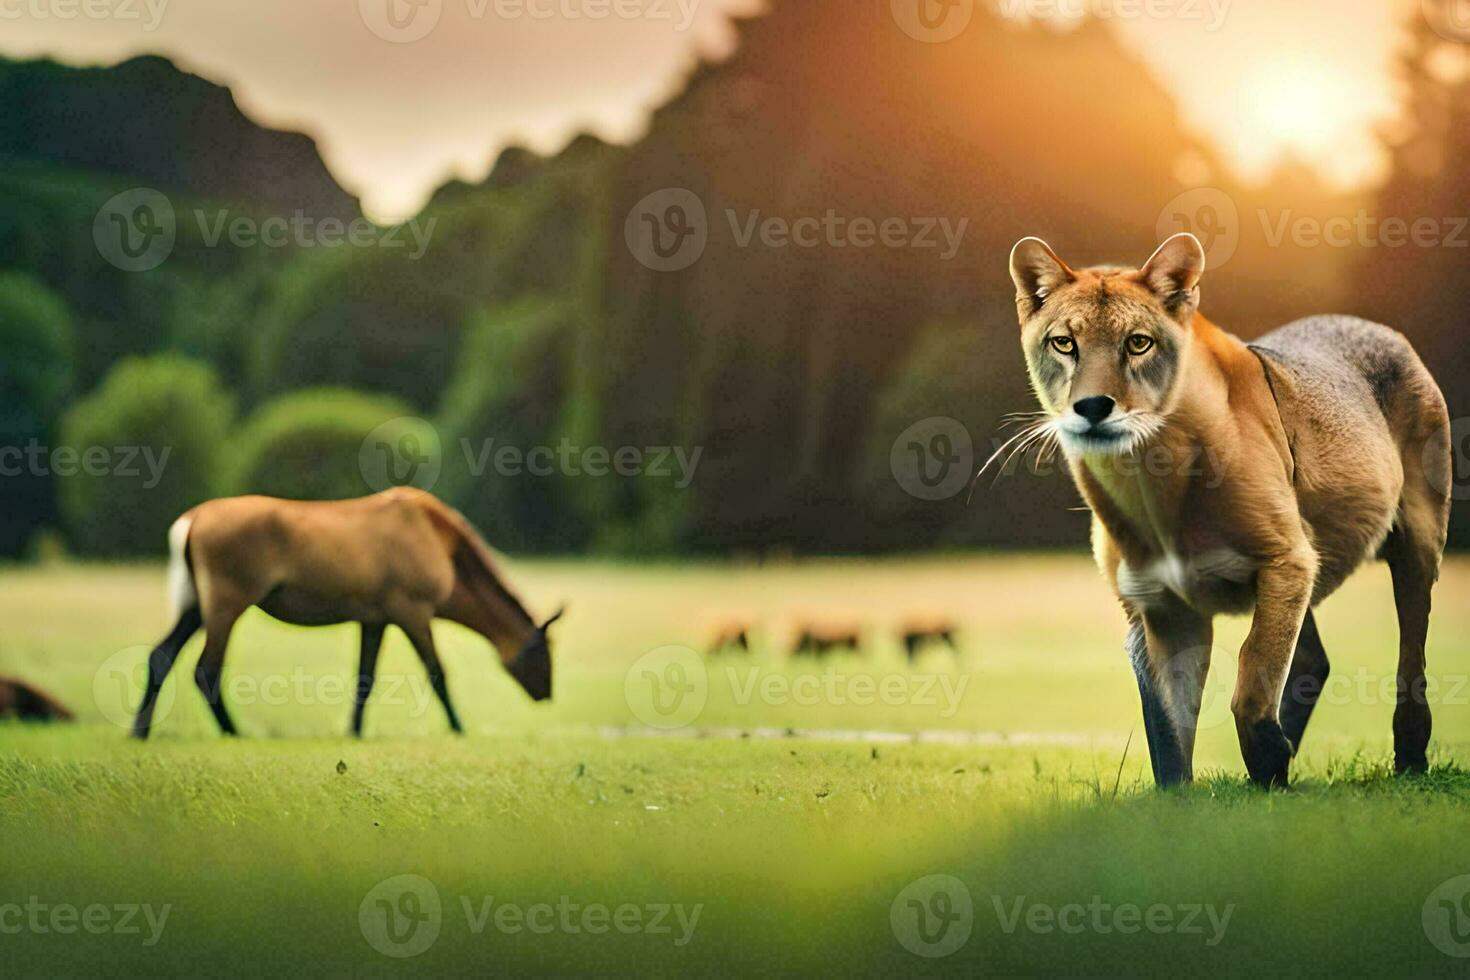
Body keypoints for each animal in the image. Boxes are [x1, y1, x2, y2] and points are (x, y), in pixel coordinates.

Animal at [1011, 232, 1446, 787]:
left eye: (1138, 343)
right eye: (1064, 343)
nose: (1092, 407)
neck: (1148, 479)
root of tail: (1376, 326)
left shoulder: (1286, 560)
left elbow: (1254, 671)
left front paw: (1268, 768)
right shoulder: (1158, 605)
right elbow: (1167, 725)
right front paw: (1189, 796)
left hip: (1416, 546)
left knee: (1411, 662)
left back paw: (1409, 761)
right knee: (1313, 660)